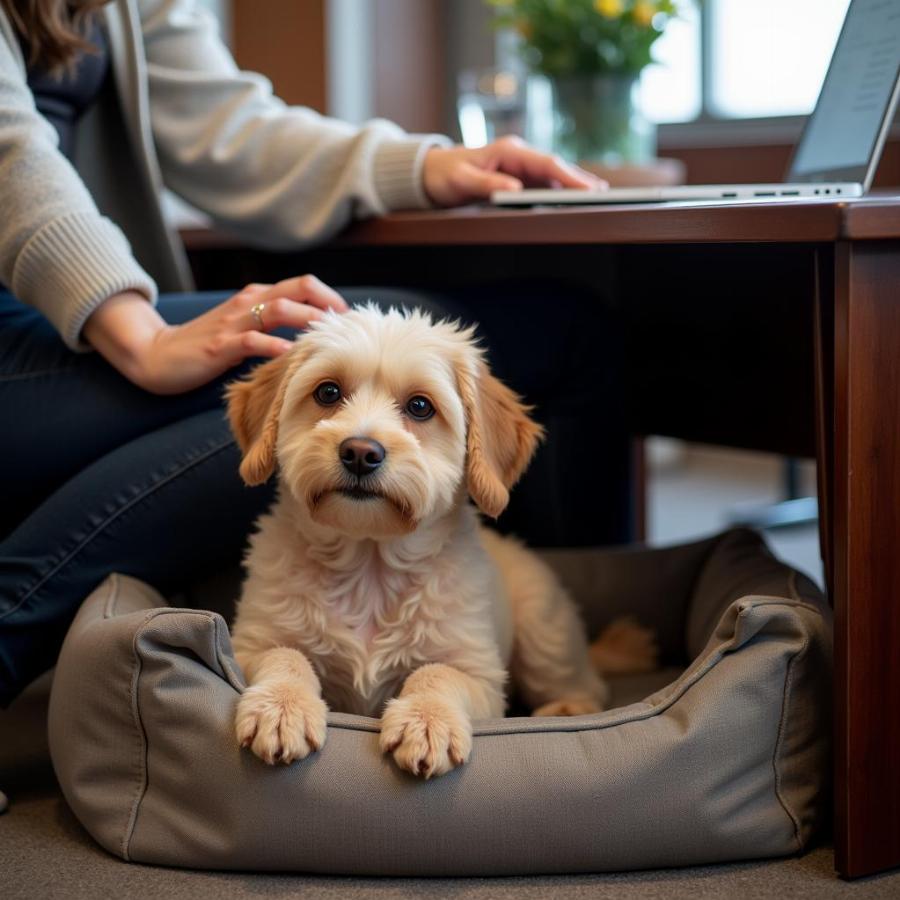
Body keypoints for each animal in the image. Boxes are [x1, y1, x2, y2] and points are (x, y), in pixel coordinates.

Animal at [229, 306, 656, 776]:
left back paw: (567, 708)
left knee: (589, 686)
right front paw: (281, 707)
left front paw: (426, 719)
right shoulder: (248, 647)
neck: (369, 563)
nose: (360, 452)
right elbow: (286, 656)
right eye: (327, 392)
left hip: (546, 637)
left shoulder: (482, 678)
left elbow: (436, 673)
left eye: (420, 406)